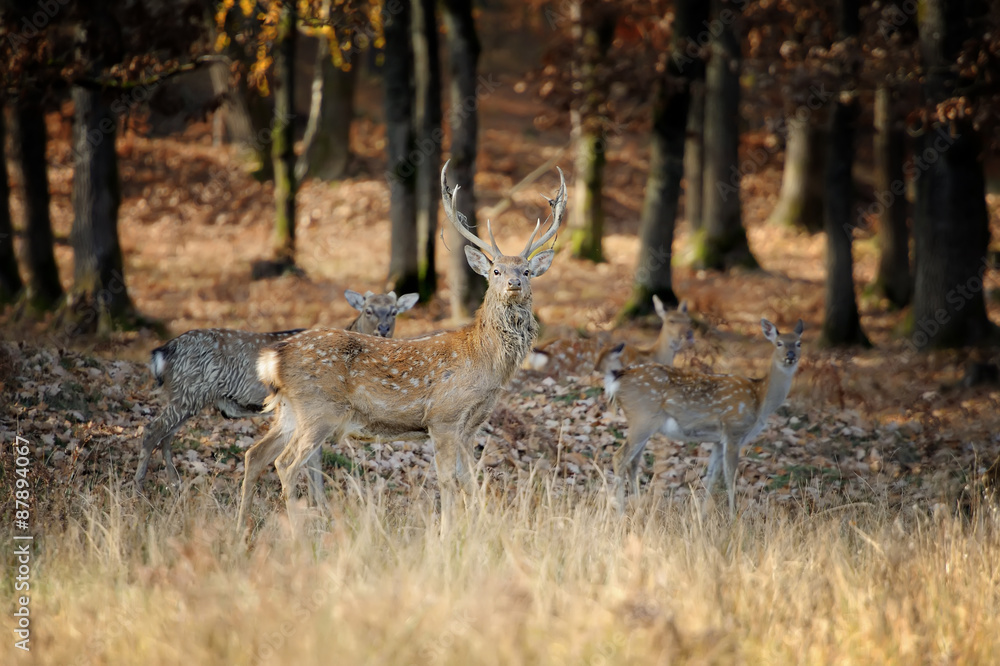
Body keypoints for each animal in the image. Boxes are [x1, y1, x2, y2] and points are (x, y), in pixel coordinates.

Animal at [232, 162, 564, 528]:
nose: (514, 283)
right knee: (286, 464)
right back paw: (297, 533)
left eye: (527, 271)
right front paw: (448, 533)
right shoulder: (444, 417)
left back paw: (242, 529)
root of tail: (273, 357)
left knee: (255, 454)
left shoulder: (469, 427)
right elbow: (448, 480)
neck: (484, 362)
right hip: (318, 408)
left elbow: (471, 482)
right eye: (495, 271)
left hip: (289, 409)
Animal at [600, 316, 804, 512]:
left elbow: (712, 475)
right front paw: (733, 516)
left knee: (633, 463)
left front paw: (703, 514)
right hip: (642, 418)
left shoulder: (718, 440)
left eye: (798, 343)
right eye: (779, 343)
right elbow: (730, 476)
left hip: (644, 423)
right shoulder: (734, 430)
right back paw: (620, 512)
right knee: (620, 458)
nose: (790, 356)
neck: (760, 398)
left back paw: (638, 509)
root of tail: (617, 378)